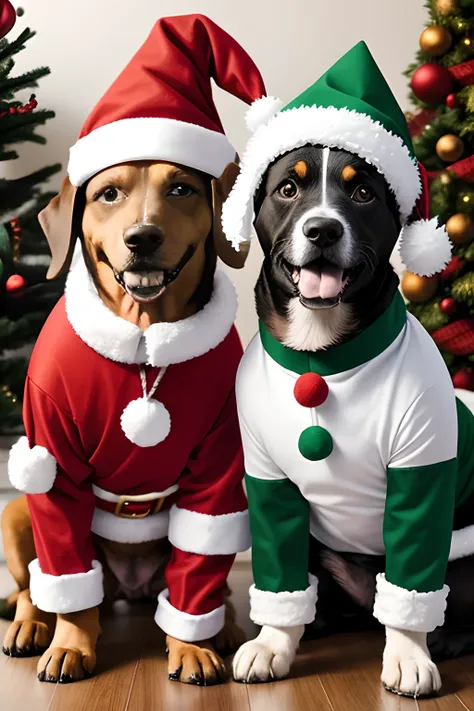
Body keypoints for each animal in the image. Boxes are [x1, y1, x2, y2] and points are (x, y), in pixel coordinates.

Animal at [0, 157, 248, 684]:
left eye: (182, 188)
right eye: (108, 193)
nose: (142, 237)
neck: (143, 339)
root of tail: (130, 588)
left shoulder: (220, 465)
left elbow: (197, 569)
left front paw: (191, 645)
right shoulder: (52, 453)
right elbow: (70, 587)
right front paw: (71, 643)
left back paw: (225, 625)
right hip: (17, 512)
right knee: (38, 587)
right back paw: (31, 623)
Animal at [231, 143, 474, 696]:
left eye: (362, 192)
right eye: (288, 188)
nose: (323, 230)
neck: (321, 362)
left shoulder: (422, 470)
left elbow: (412, 578)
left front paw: (408, 655)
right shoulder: (269, 480)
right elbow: (279, 573)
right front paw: (273, 643)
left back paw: (447, 637)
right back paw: (319, 620)